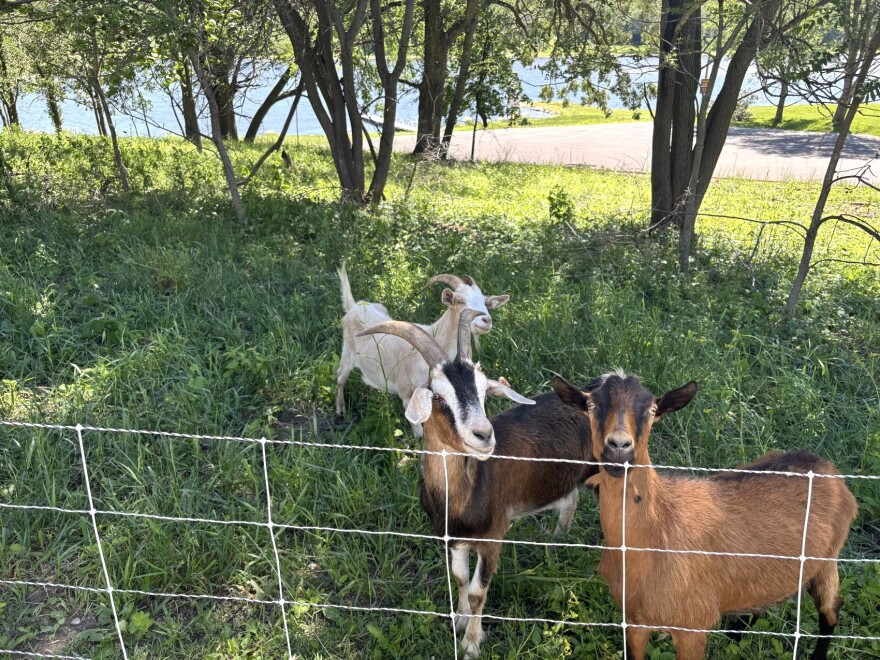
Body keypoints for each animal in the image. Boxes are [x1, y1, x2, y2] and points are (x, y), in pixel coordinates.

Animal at [336, 263, 509, 438]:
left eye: (485, 302)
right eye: (460, 301)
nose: (486, 320)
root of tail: (354, 306)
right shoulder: (406, 393)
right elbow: (419, 433)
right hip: (347, 353)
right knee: (340, 377)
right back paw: (340, 410)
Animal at [358, 311, 597, 658]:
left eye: (485, 393)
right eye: (437, 396)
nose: (484, 435)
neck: (461, 495)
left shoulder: (493, 537)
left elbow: (476, 592)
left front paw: (471, 643)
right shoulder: (453, 537)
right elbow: (459, 578)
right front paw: (458, 620)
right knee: (571, 499)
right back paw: (557, 542)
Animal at [553, 372, 858, 660]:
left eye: (652, 410)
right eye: (591, 405)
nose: (619, 447)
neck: (657, 533)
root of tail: (825, 466)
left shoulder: (693, 628)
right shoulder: (634, 621)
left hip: (827, 561)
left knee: (832, 610)